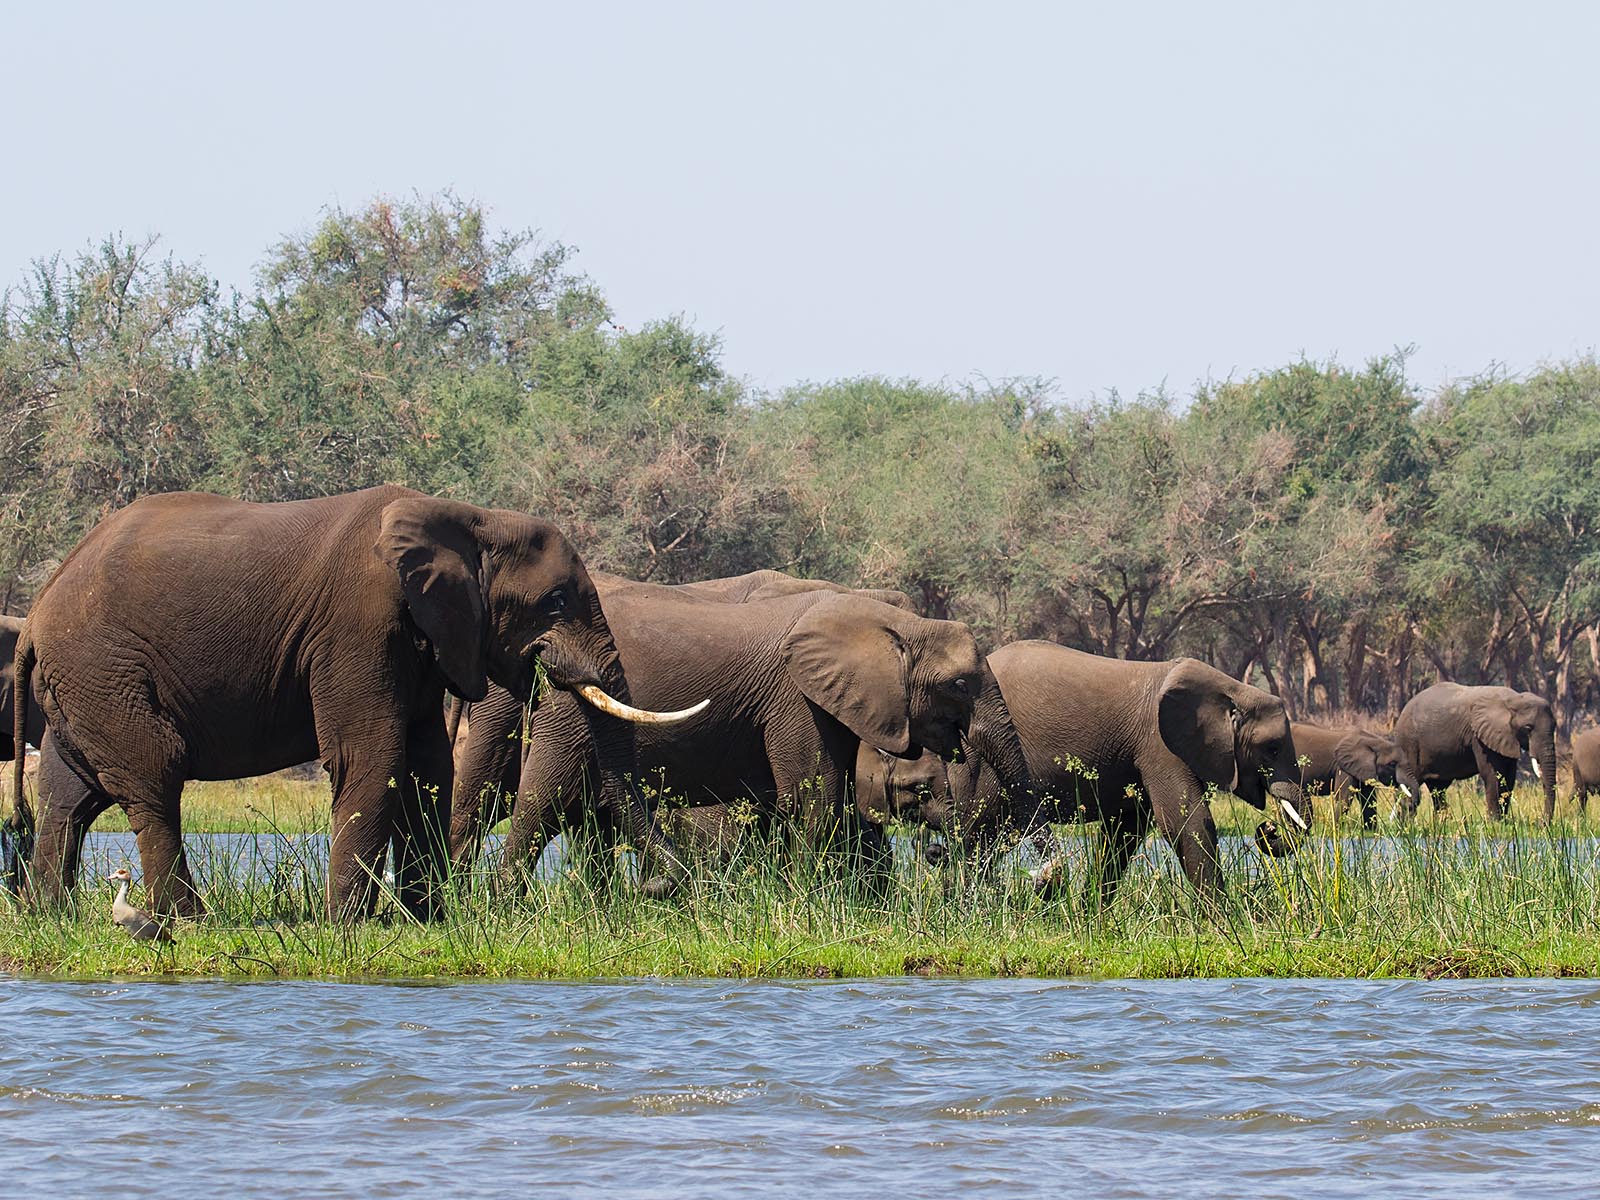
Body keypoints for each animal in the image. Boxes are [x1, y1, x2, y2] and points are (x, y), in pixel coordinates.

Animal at [15, 485, 698, 919]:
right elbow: (372, 756)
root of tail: (36, 614)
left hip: (81, 683)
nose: (661, 886)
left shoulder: (419, 638)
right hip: (105, 666)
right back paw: (188, 919)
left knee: (68, 796)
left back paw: (50, 916)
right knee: (154, 777)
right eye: (555, 602)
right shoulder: (358, 624)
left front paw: (429, 920)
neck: (467, 517)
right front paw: (348, 925)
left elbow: (427, 766)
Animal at [450, 580, 1012, 884]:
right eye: (959, 685)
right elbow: (812, 794)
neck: (888, 620)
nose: (935, 854)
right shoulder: (794, 697)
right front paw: (813, 902)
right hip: (564, 708)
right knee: (540, 799)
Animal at [929, 642, 1307, 906]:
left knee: (989, 840)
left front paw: (1091, 917)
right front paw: (1224, 922)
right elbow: (1186, 823)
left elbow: (1124, 833)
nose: (1269, 829)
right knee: (977, 836)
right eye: (1273, 748)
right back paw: (967, 910)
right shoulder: (1159, 744)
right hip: (977, 761)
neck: (1231, 688)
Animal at [1392, 683, 1557, 822]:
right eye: (1528, 728)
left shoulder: (1505, 738)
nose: (1541, 823)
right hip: (1408, 743)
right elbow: (1492, 775)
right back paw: (1405, 825)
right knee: (1409, 785)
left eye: (1555, 726)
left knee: (1438, 789)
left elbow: (1508, 778)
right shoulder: (1479, 736)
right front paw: (1495, 824)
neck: (1513, 699)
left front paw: (1504, 823)